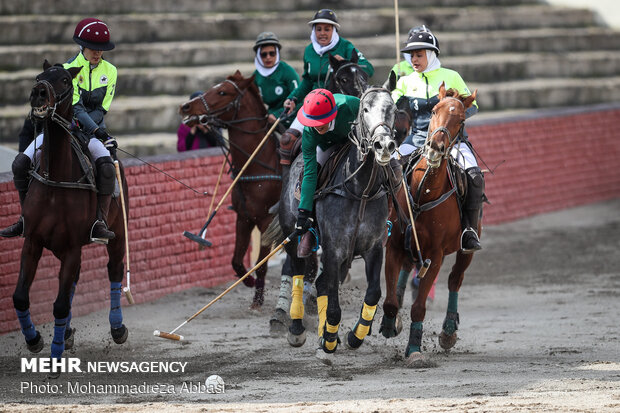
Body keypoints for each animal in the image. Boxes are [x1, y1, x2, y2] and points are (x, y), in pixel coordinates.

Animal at [12, 60, 129, 364]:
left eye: (66, 80)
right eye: (39, 77)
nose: (39, 93)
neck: (56, 180)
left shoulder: (73, 247)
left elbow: (61, 304)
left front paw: (54, 356)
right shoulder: (33, 242)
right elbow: (20, 297)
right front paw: (35, 340)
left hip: (117, 233)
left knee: (114, 269)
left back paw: (117, 327)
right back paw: (64, 333)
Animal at [178, 71, 282, 308]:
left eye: (223, 92)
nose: (186, 107)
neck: (257, 164)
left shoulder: (267, 221)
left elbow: (262, 264)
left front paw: (257, 301)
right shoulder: (243, 218)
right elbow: (236, 260)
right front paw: (249, 282)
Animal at [378, 82, 480, 366]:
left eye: (462, 120)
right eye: (434, 110)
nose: (435, 147)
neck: (424, 192)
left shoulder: (435, 255)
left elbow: (419, 307)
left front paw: (414, 350)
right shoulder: (393, 245)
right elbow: (390, 301)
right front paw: (389, 324)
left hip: (467, 248)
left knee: (455, 280)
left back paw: (448, 331)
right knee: (403, 274)